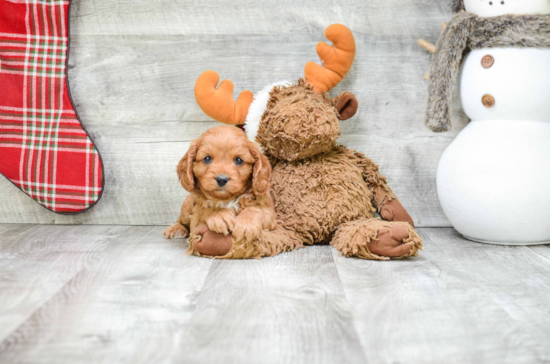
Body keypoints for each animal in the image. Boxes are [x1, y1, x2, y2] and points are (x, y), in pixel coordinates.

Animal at [163, 126, 276, 258]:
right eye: (207, 158)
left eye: (239, 160)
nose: (222, 179)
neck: (227, 199)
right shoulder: (196, 220)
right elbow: (207, 209)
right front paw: (220, 216)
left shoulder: (271, 214)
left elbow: (256, 209)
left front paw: (246, 225)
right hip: (187, 207)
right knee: (182, 219)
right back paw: (175, 229)